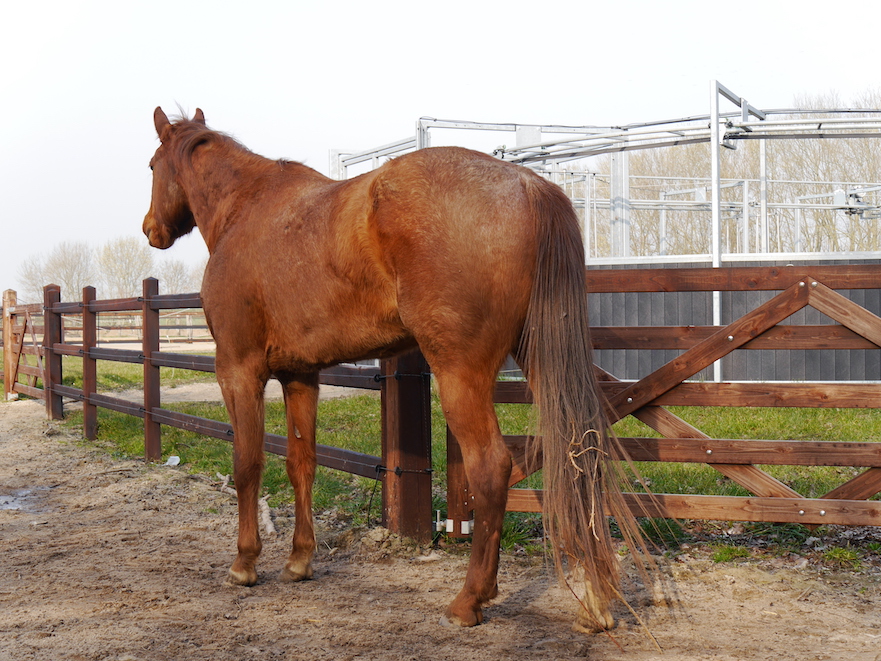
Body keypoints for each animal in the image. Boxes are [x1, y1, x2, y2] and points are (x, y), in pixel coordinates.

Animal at [143, 105, 640, 632]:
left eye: (153, 166)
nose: (151, 228)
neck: (245, 209)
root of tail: (527, 184)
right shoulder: (301, 376)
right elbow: (302, 464)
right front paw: (299, 560)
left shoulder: (238, 371)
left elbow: (247, 464)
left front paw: (244, 563)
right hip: (542, 361)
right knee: (580, 452)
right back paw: (596, 602)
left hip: (460, 374)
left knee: (492, 468)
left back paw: (470, 599)